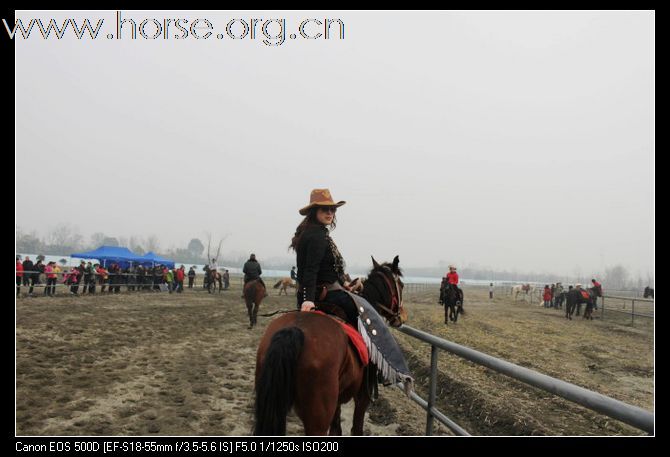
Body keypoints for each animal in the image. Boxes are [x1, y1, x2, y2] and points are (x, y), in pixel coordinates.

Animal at [255, 255, 406, 436]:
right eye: (402, 285)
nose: (401, 317)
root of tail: (295, 329)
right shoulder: (363, 396)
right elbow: (356, 428)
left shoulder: (337, 401)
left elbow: (336, 428)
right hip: (318, 420)